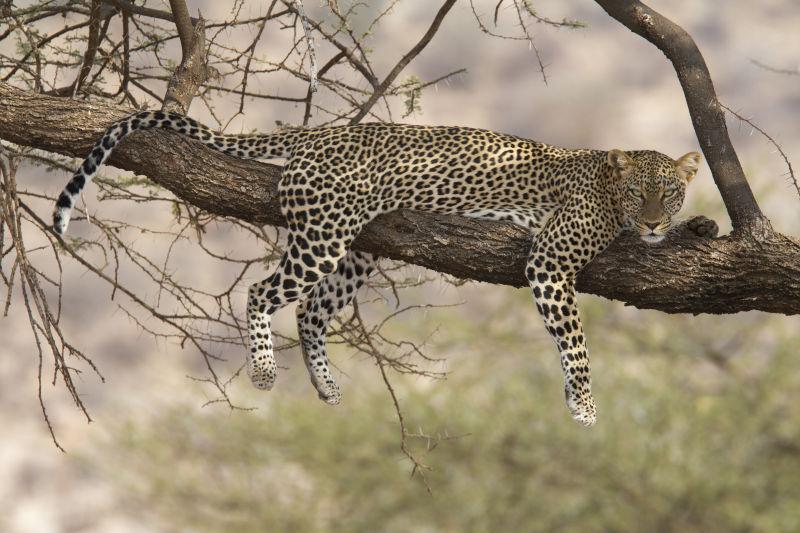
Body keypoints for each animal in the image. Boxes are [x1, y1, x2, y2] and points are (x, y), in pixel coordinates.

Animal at [51, 110, 708, 426]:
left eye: (671, 193)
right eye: (640, 193)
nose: (655, 223)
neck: (606, 188)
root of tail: (318, 135)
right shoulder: (548, 261)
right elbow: (575, 343)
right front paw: (586, 406)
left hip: (357, 251)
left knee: (310, 312)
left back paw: (326, 384)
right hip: (322, 237)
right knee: (263, 293)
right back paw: (264, 370)